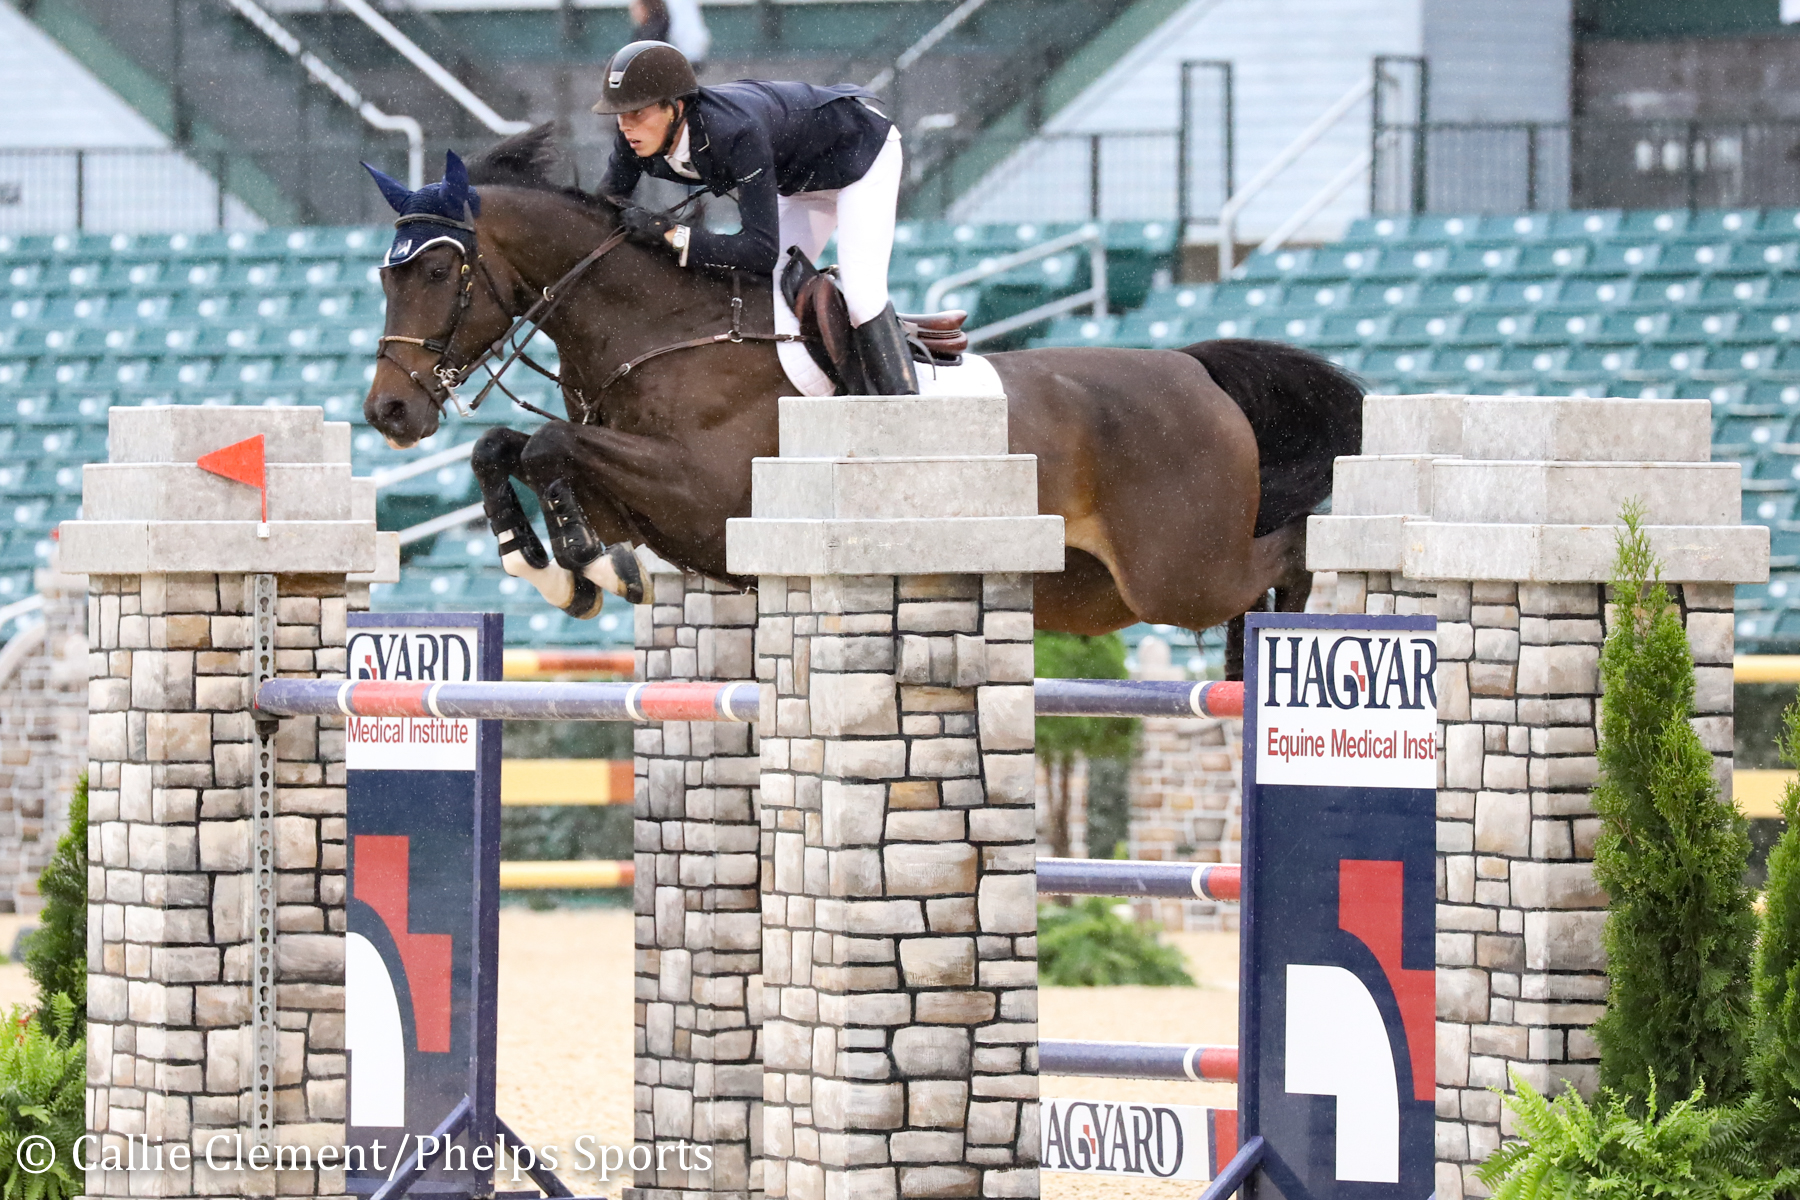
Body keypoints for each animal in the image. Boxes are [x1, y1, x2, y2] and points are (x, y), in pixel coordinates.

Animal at [361, 134, 1360, 662]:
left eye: (439, 271)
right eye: (384, 275)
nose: (388, 414)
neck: (663, 331)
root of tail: (1193, 369)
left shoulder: (706, 492)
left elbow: (544, 449)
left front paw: (588, 567)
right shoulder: (644, 500)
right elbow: (507, 451)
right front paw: (551, 566)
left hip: (1178, 571)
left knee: (1282, 553)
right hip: (1092, 589)